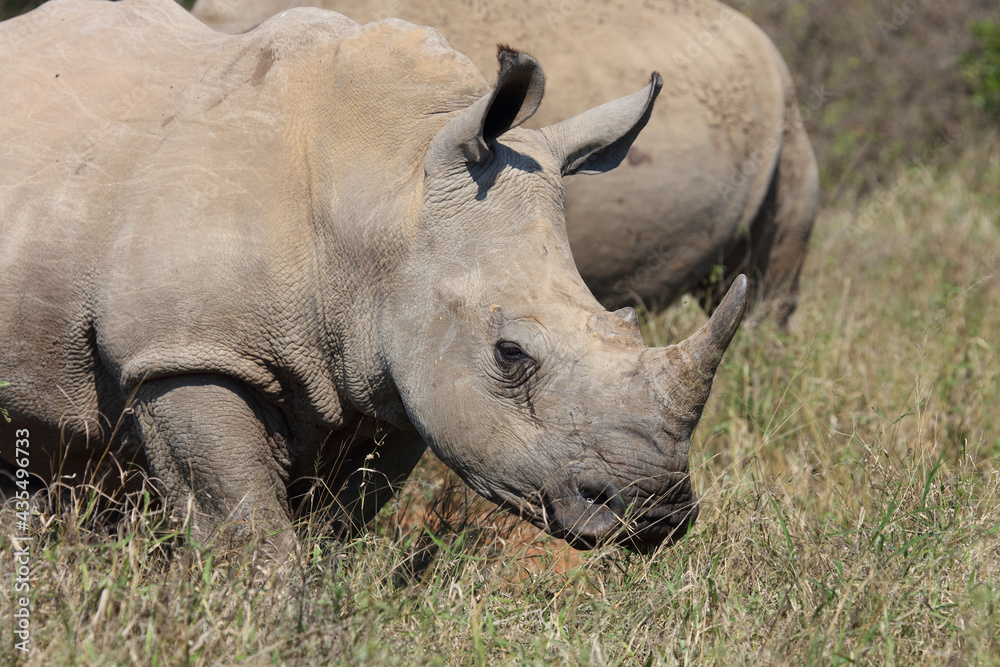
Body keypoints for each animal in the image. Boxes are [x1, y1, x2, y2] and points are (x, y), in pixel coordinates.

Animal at [0, 0, 748, 555]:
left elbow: (340, 517)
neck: (384, 186)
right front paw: (269, 619)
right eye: (510, 354)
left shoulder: (397, 372)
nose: (653, 510)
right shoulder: (185, 350)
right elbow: (244, 524)